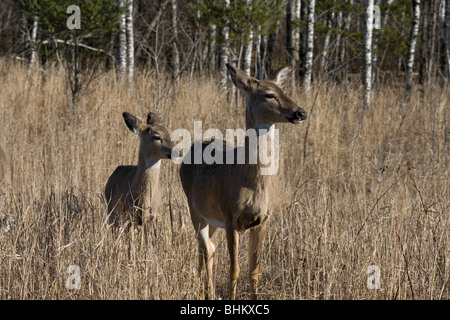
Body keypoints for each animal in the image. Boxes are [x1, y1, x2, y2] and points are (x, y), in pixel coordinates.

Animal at [179, 63, 310, 300]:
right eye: (269, 94)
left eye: (284, 90)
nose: (301, 112)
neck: (253, 182)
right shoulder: (231, 218)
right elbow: (234, 269)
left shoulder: (263, 219)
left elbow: (254, 269)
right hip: (195, 210)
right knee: (205, 248)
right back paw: (205, 293)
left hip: (213, 219)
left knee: (208, 248)